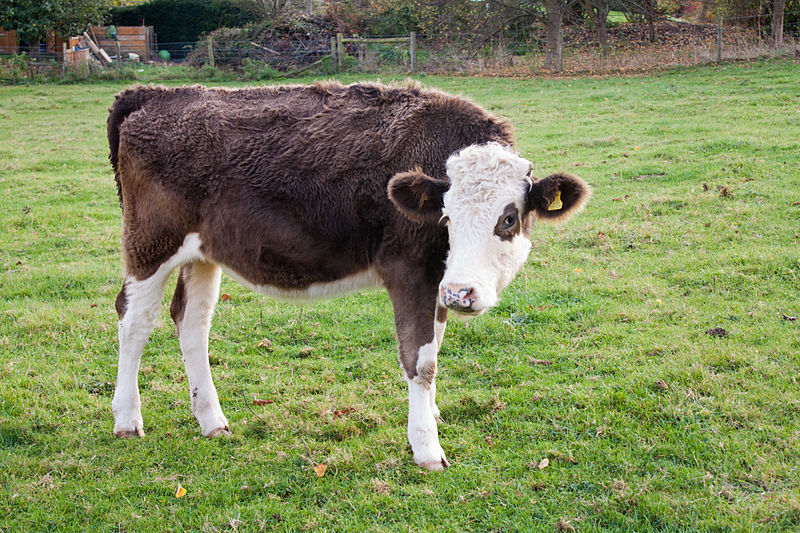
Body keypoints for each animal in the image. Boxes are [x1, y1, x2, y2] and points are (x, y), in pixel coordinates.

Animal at [108, 80, 588, 470]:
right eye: (447, 217)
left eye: (508, 218)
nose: (461, 292)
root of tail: (156, 94)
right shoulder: (411, 271)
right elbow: (421, 361)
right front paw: (426, 446)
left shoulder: (436, 281)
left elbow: (434, 343)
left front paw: (430, 415)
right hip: (150, 245)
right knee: (134, 320)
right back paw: (127, 419)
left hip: (203, 255)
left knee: (192, 323)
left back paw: (212, 420)